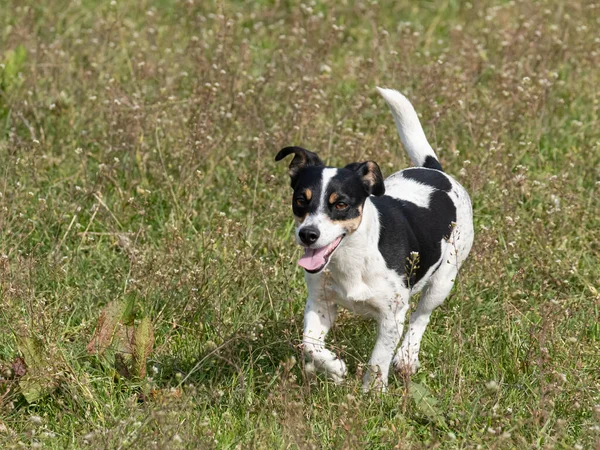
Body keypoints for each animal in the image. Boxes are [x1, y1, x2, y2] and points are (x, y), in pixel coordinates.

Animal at [276, 88, 474, 390]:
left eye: (341, 204)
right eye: (300, 200)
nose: (308, 235)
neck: (353, 257)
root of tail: (435, 170)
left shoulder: (392, 316)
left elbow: (379, 358)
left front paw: (372, 391)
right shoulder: (320, 303)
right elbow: (310, 345)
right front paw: (335, 368)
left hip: (444, 279)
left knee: (421, 316)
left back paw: (407, 356)